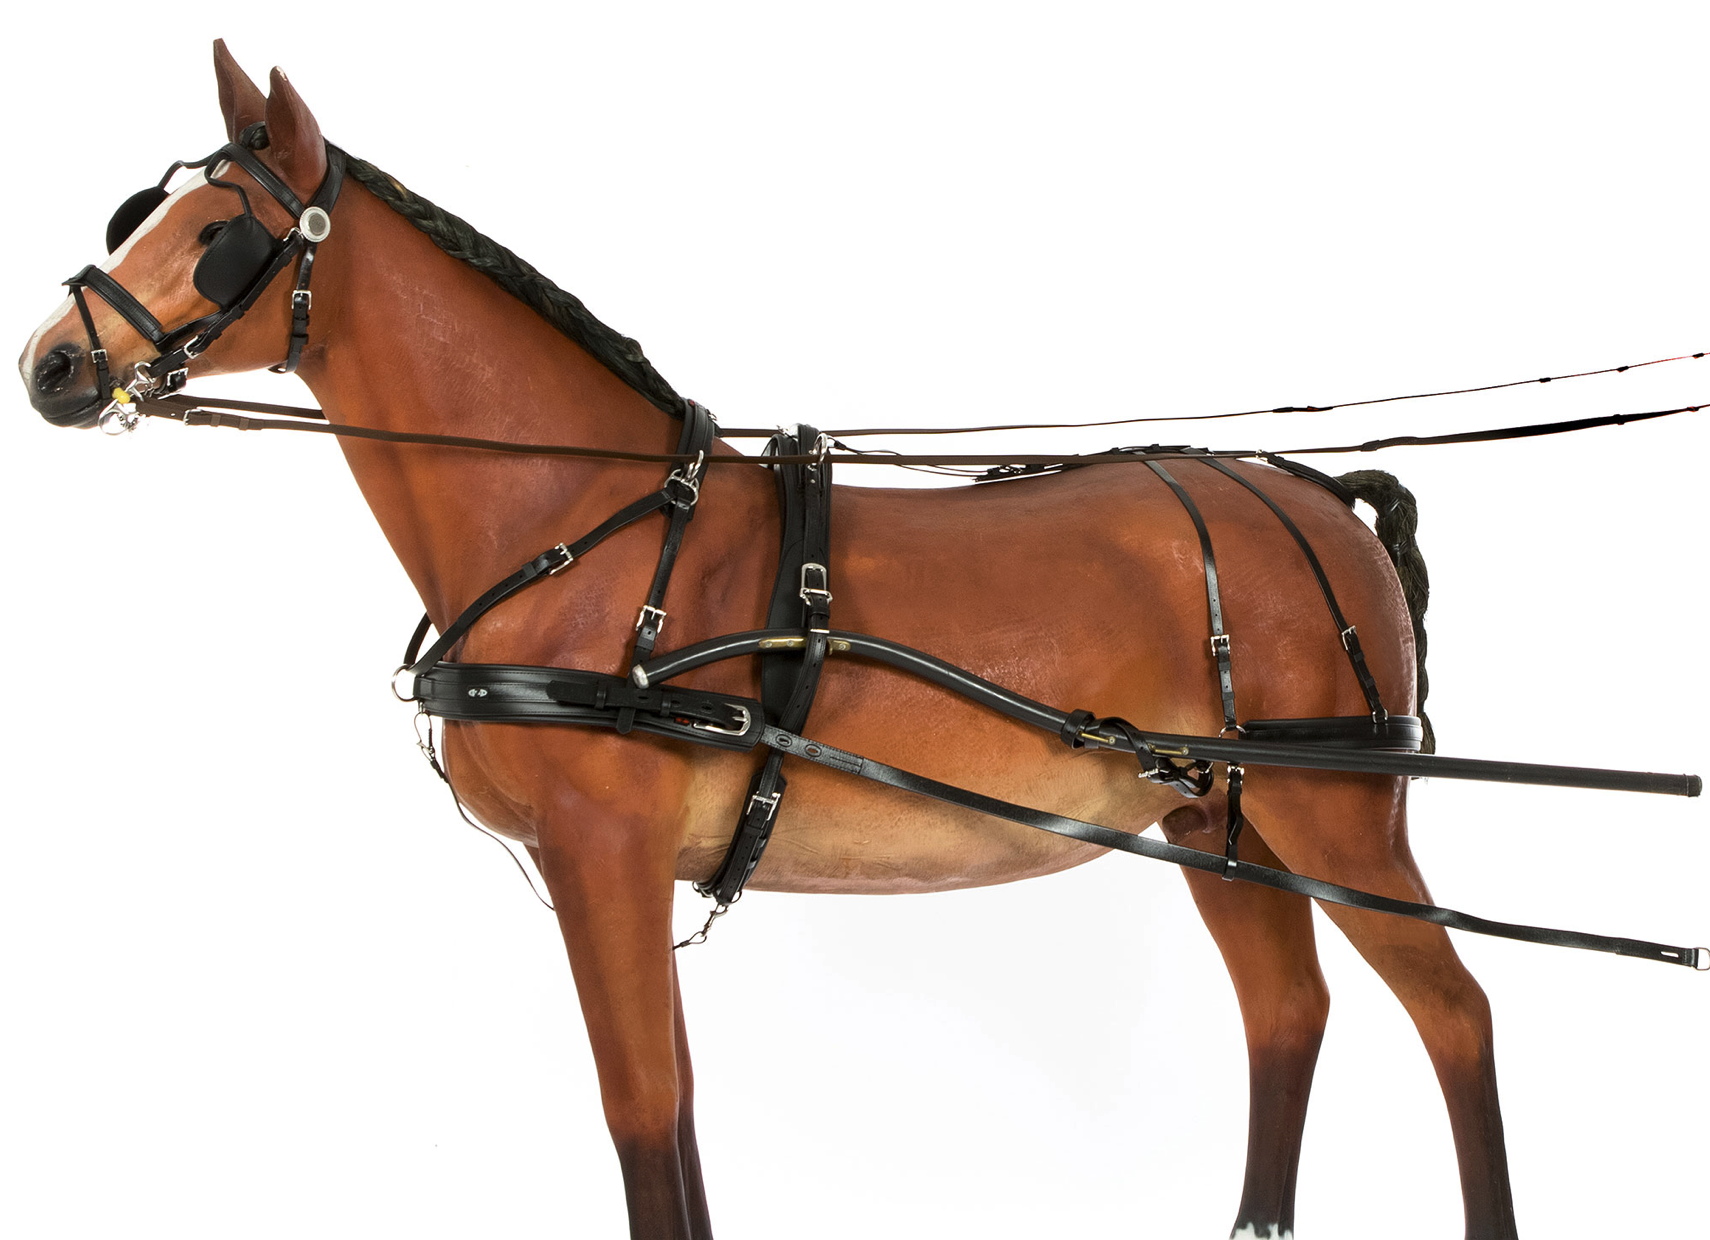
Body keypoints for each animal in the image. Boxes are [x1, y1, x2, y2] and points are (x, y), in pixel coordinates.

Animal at [19, 43, 1529, 1240]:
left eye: (219, 232)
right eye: (145, 211)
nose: (52, 363)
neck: (590, 524)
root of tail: (1319, 500)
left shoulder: (605, 851)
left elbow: (644, 1110)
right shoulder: (610, 870)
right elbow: (671, 1112)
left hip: (1332, 808)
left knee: (1456, 1013)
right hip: (1219, 821)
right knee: (1288, 1013)